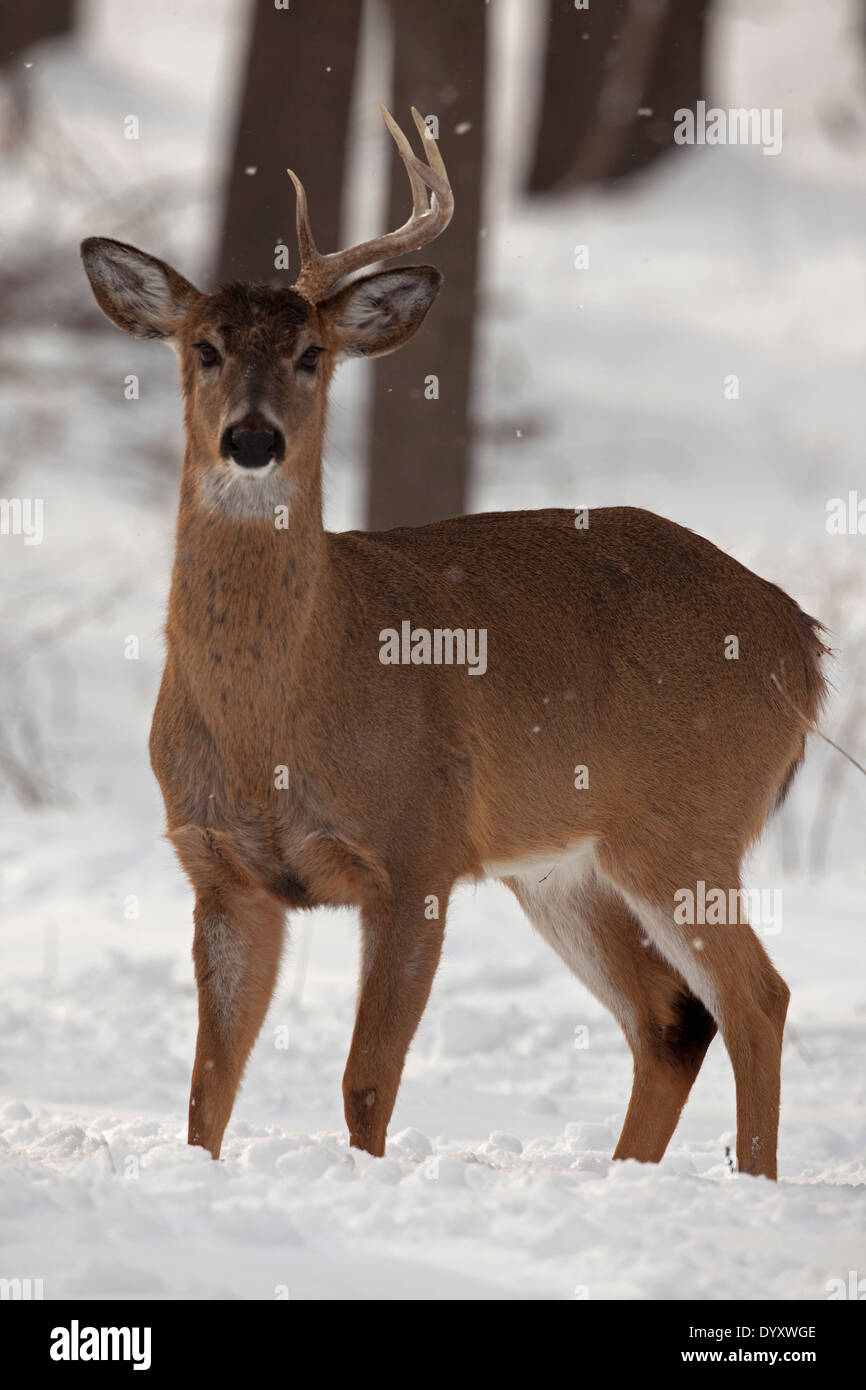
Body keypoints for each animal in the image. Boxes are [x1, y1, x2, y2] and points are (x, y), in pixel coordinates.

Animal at [81, 106, 827, 1181]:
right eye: (205, 347)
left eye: (312, 354)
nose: (252, 441)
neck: (278, 716)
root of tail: (800, 641)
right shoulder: (221, 870)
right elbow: (204, 1094)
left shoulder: (417, 847)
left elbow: (365, 1079)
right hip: (560, 866)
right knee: (671, 1016)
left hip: (686, 823)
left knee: (754, 997)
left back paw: (749, 1184)